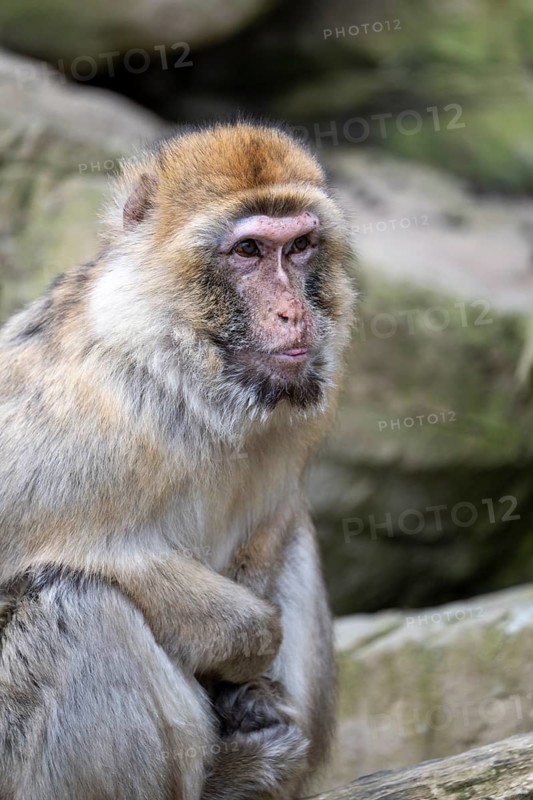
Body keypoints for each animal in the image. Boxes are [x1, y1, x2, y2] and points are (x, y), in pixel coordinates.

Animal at [0, 122, 355, 800]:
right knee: (74, 602)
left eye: (299, 246)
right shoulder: (73, 410)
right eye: (248, 251)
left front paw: (251, 684)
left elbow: (273, 525)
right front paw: (248, 634)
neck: (187, 377)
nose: (294, 313)